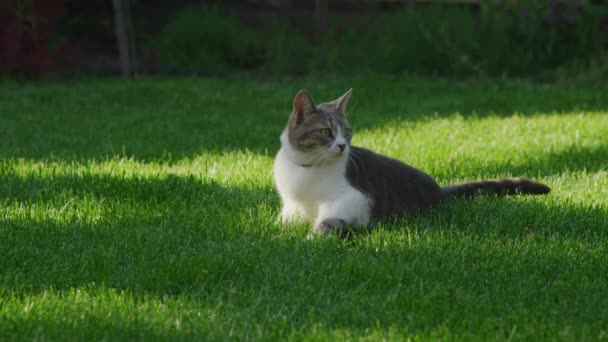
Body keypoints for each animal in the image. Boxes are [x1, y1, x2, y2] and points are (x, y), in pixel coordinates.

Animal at [274, 88, 548, 238]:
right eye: (326, 132)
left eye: (347, 132)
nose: (343, 146)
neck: (305, 169)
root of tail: (439, 191)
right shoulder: (291, 208)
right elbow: (282, 223)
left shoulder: (353, 199)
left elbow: (329, 222)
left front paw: (310, 240)